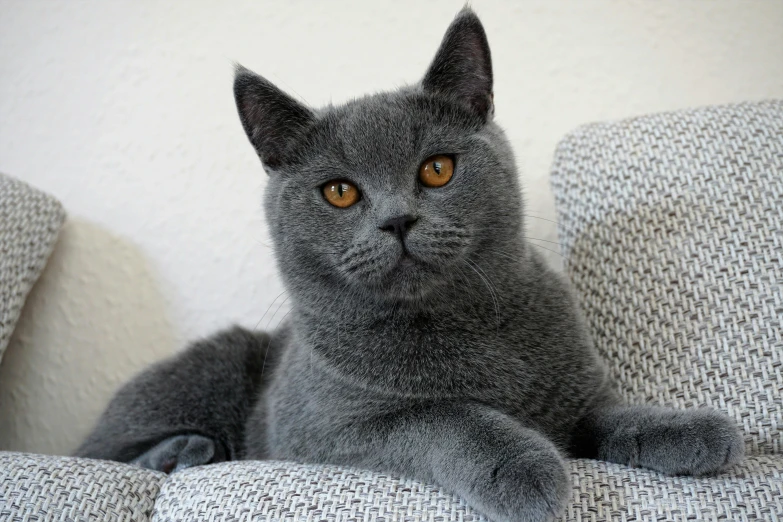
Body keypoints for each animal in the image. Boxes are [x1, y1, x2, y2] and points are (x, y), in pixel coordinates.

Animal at [76, 9, 744, 520]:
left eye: (438, 169)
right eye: (339, 192)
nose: (397, 220)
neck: (459, 324)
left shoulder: (578, 392)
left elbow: (607, 415)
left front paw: (690, 430)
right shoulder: (329, 431)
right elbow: (445, 416)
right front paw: (525, 468)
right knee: (94, 451)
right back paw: (183, 453)